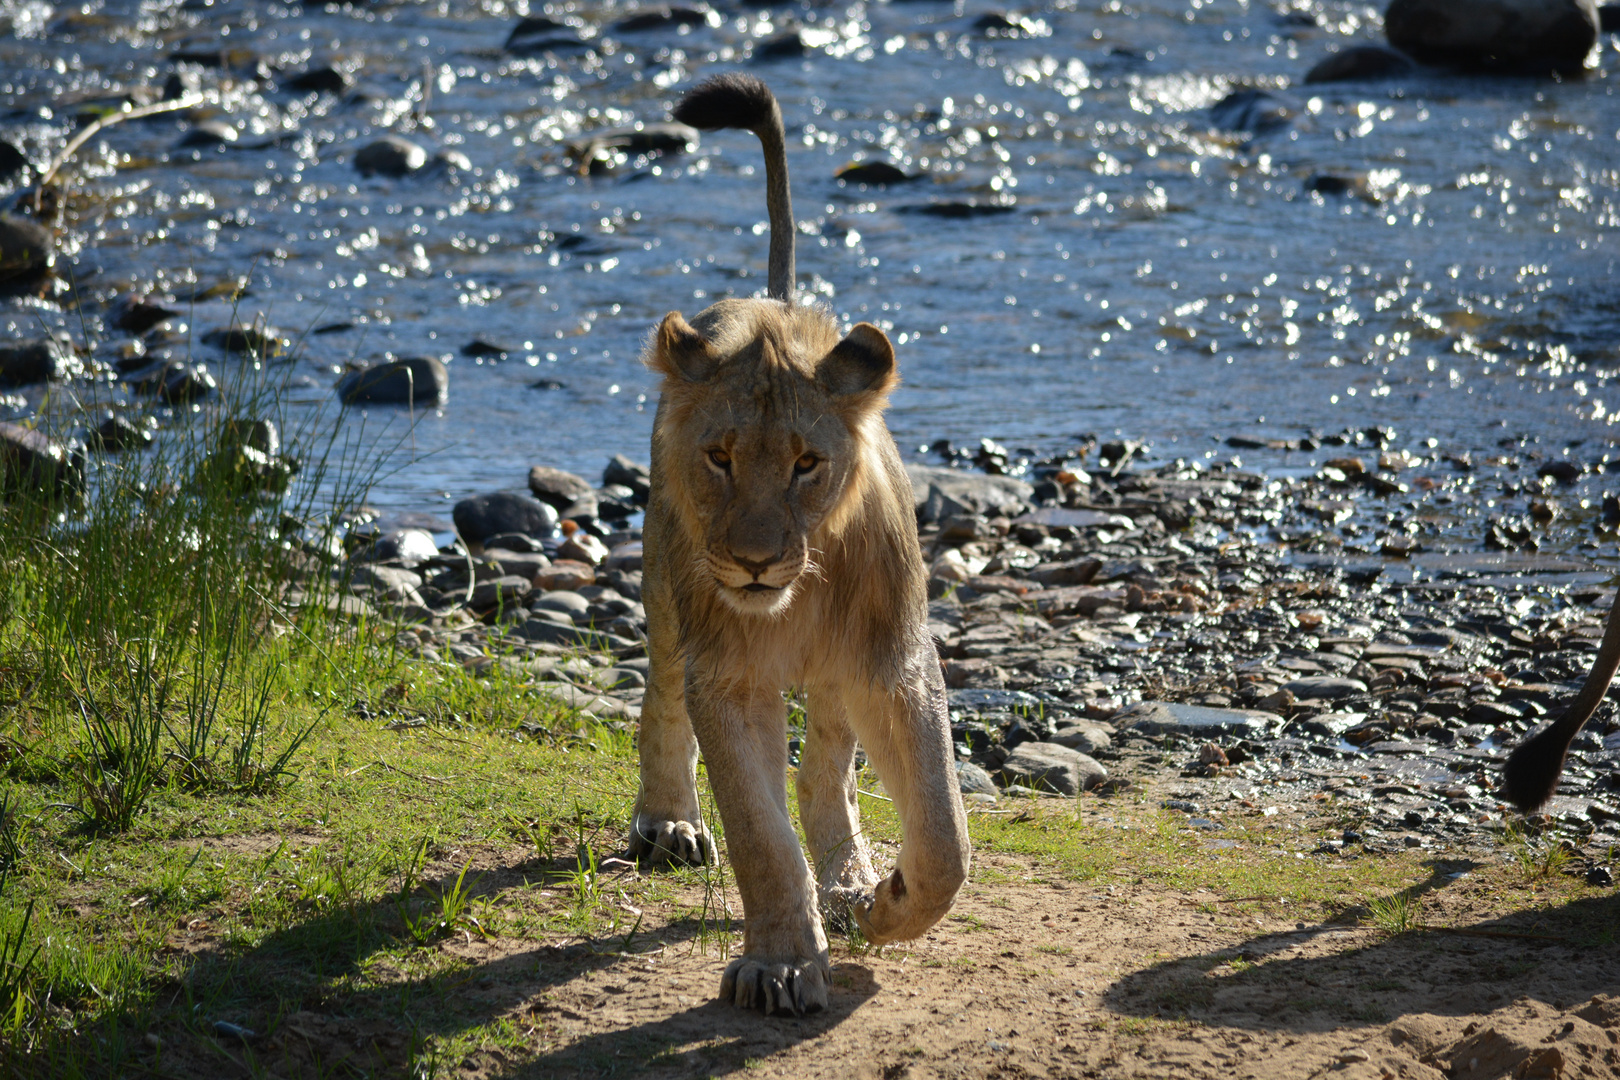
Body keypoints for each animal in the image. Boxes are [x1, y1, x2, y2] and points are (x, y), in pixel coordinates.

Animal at [625, 74, 965, 1016]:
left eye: (807, 464)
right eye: (721, 457)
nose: (752, 561)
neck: (800, 590)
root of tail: (767, 298)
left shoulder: (892, 662)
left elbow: (944, 838)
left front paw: (886, 901)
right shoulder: (729, 677)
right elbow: (759, 837)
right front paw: (779, 963)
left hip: (839, 672)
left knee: (828, 773)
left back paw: (849, 880)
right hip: (665, 591)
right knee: (660, 700)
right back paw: (669, 822)